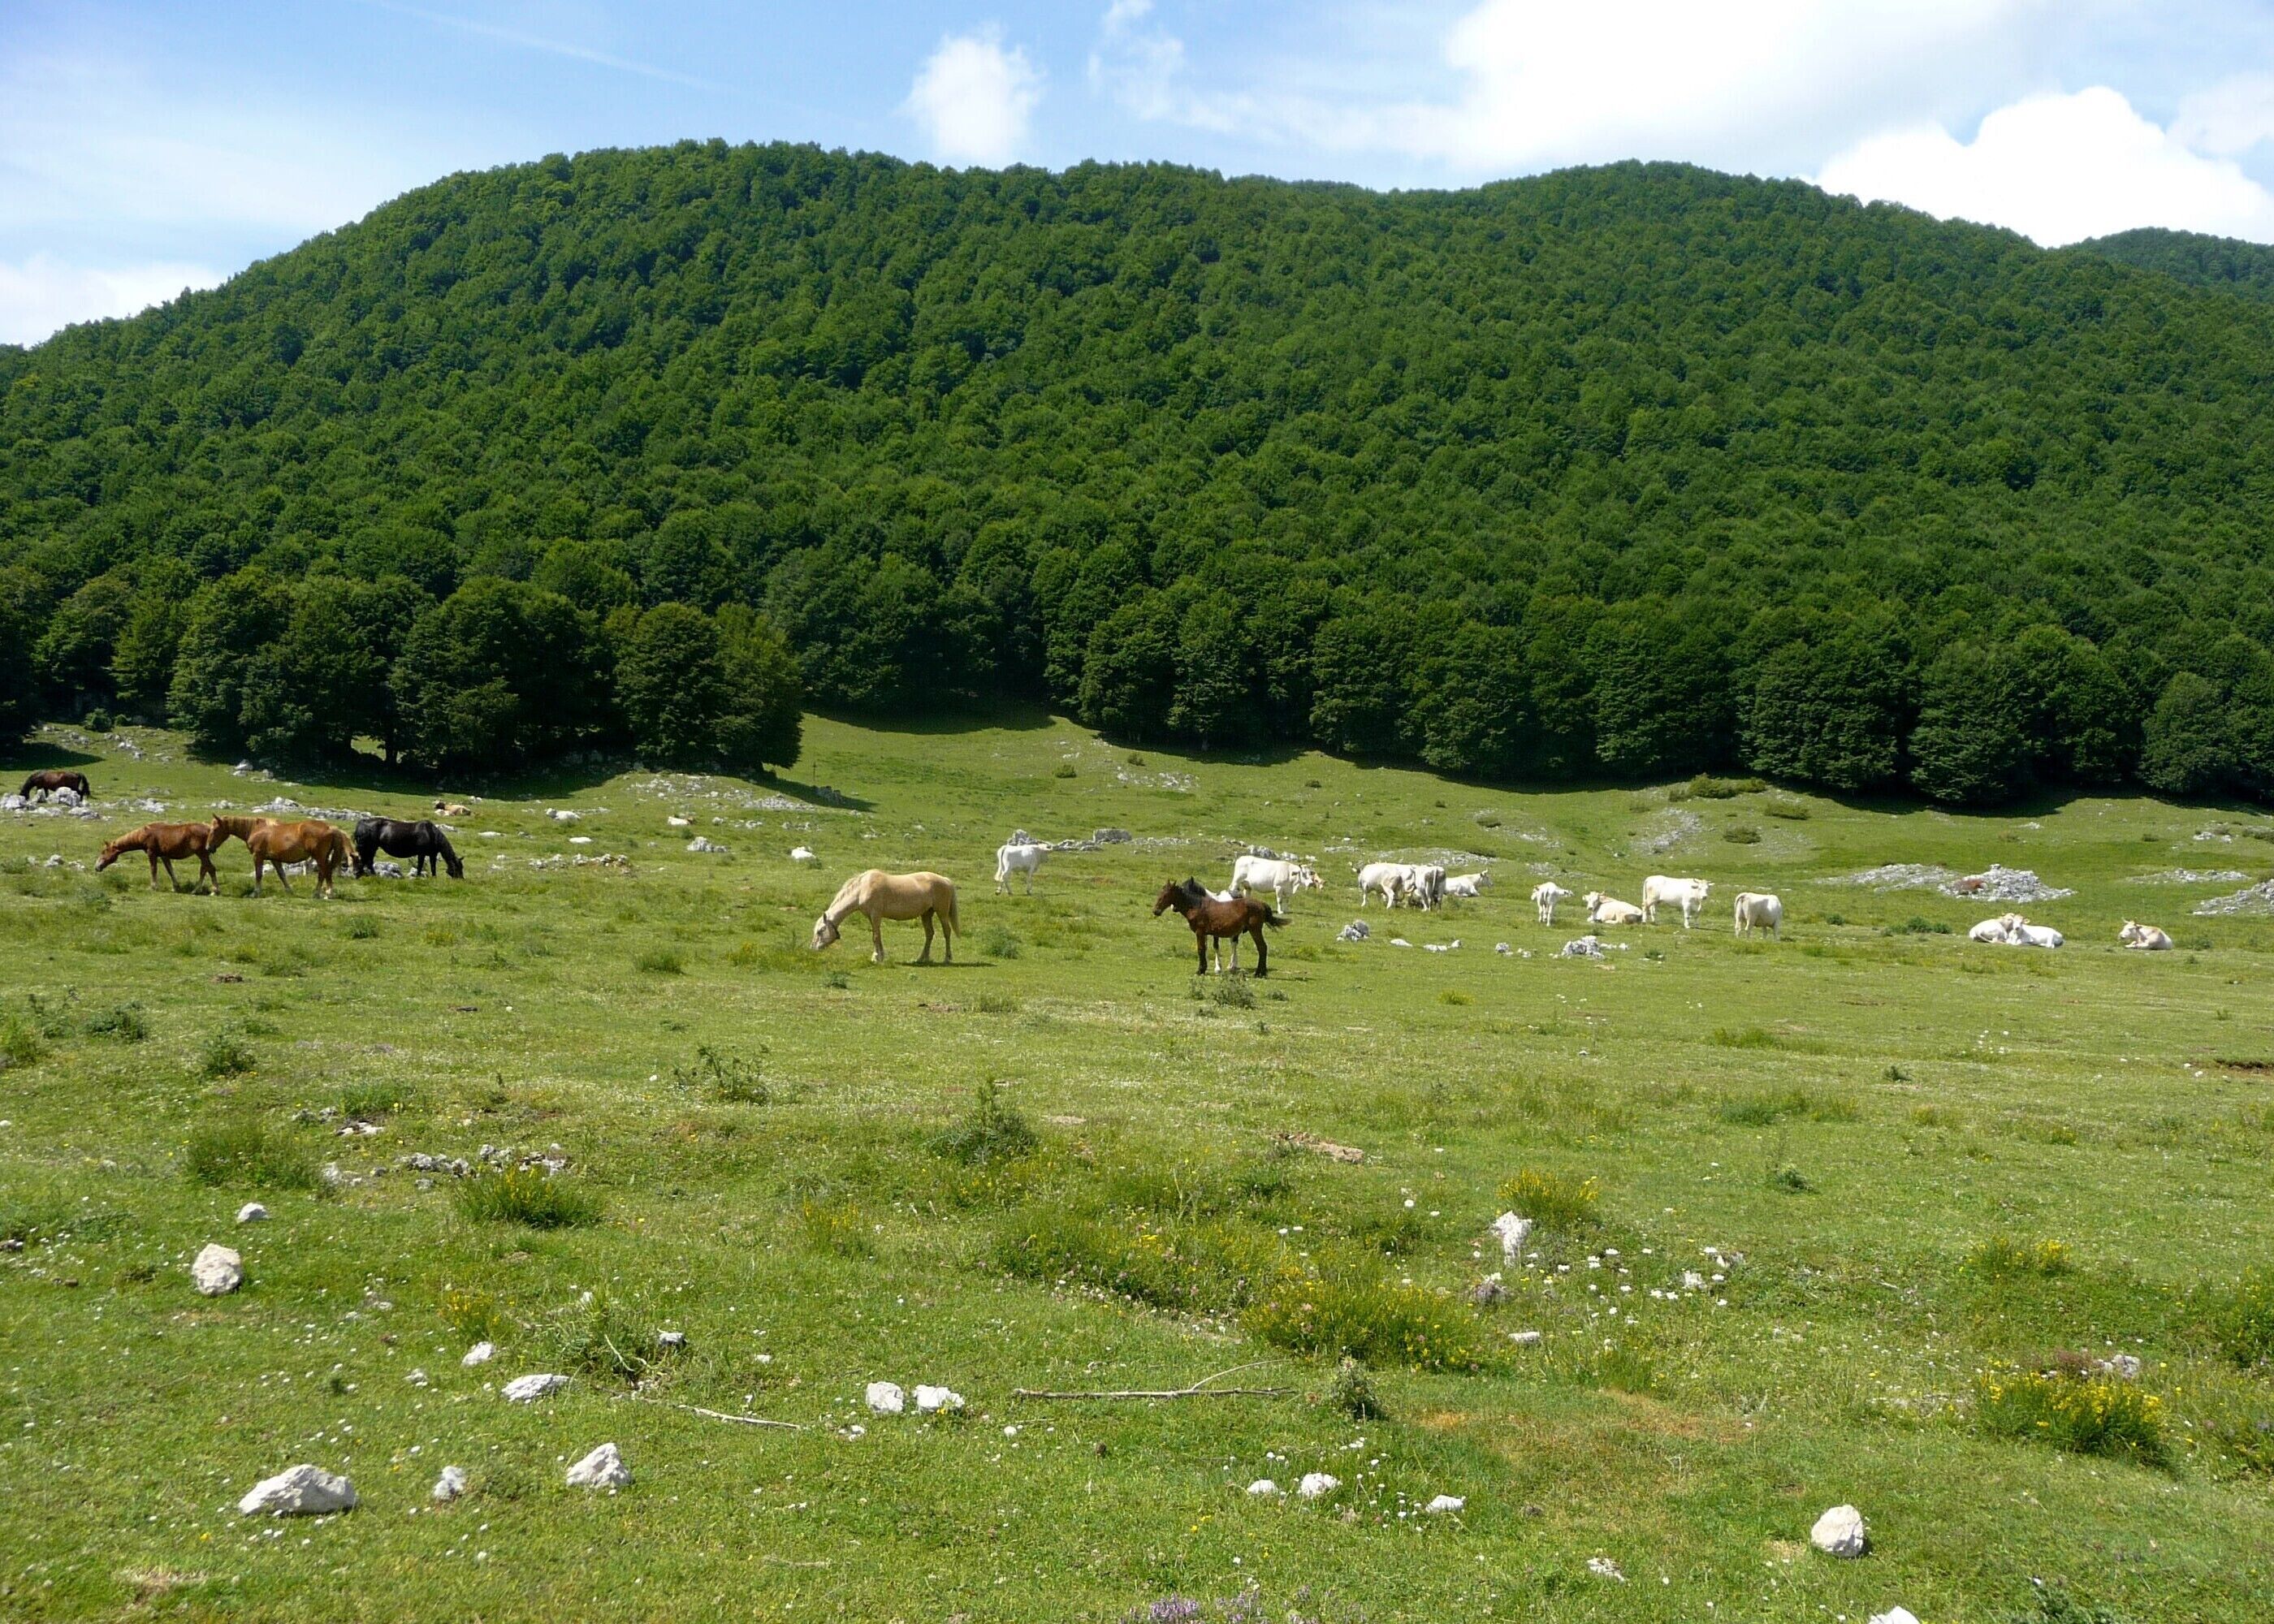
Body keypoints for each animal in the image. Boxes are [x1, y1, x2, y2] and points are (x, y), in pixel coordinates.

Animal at [96, 822, 220, 892]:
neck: (144, 834)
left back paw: (212, 890)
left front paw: (153, 887)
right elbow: (170, 870)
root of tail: (209, 829)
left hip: (202, 854)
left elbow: (153, 869)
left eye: (104, 851)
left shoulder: (152, 853)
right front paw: (175, 887)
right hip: (203, 855)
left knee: (210, 869)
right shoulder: (164, 856)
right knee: (205, 869)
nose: (97, 867)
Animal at [209, 813, 350, 898]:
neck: (255, 829)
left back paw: (323, 893)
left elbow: (259, 874)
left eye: (215, 829)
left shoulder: (258, 856)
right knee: (325, 873)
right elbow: (282, 875)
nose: (209, 848)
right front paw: (289, 891)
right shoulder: (275, 859)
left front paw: (255, 893)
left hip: (319, 857)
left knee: (324, 873)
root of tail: (330, 828)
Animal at [354, 817, 463, 878]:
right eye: (458, 867)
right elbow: (420, 865)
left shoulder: (432, 855)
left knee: (367, 860)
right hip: (370, 847)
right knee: (367, 860)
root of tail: (362, 822)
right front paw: (418, 877)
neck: (431, 833)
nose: (462, 879)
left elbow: (433, 867)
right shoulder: (421, 853)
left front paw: (434, 878)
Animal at [812, 870, 959, 963]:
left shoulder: (876, 915)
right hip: (926, 914)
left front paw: (876, 957)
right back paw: (922, 958)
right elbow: (877, 936)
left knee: (947, 932)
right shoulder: (871, 917)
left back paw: (947, 958)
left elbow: (876, 937)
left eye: (820, 931)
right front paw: (881, 956)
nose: (813, 948)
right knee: (929, 934)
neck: (863, 888)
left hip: (942, 913)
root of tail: (946, 880)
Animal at [1153, 877, 1283, 976]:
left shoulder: (1200, 932)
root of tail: (1261, 904)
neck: (1197, 906)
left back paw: (1259, 973)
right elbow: (1205, 949)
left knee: (1262, 948)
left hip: (1254, 930)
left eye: (1166, 895)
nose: (1156, 911)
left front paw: (1200, 970)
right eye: (1160, 893)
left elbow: (1201, 950)